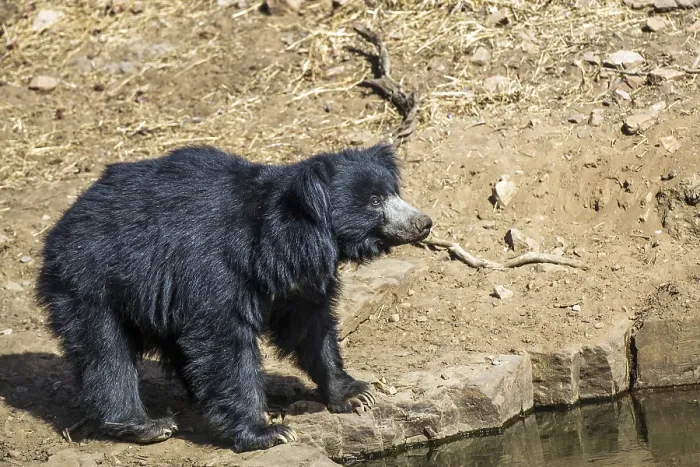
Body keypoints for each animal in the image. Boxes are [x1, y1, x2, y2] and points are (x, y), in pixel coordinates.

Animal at [35, 143, 432, 453]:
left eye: (394, 191)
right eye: (374, 201)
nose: (424, 222)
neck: (289, 237)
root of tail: (63, 222)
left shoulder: (297, 283)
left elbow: (311, 330)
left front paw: (355, 393)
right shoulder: (217, 269)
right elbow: (224, 343)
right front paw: (268, 432)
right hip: (90, 281)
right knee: (105, 352)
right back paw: (147, 425)